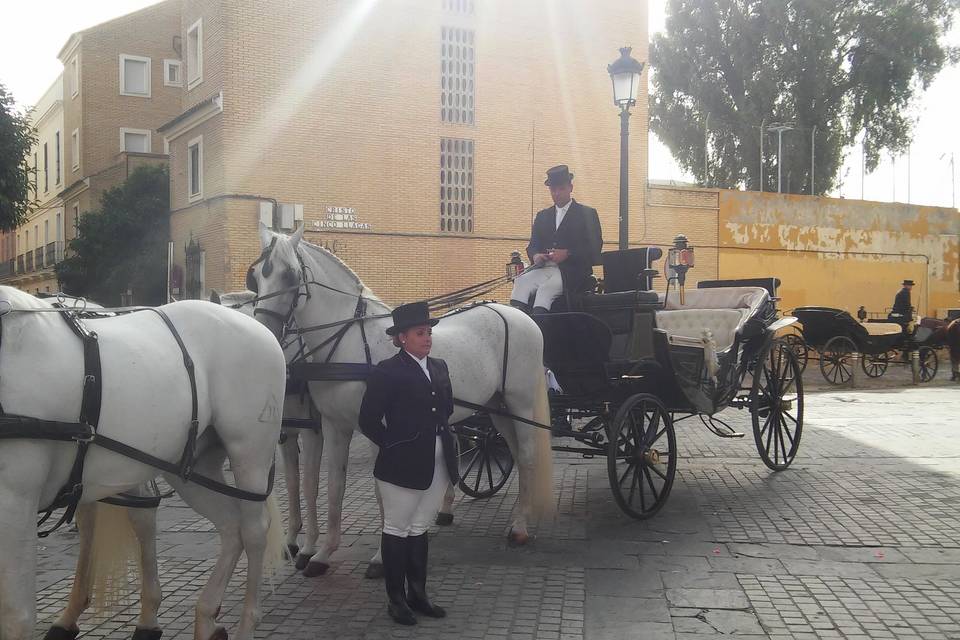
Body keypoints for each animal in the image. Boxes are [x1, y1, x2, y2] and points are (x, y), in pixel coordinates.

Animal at [0, 288, 284, 640]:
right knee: (231, 527)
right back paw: (206, 616)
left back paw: (245, 624)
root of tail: (254, 323)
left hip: (250, 455)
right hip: (190, 468)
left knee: (254, 531)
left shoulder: (14, 502)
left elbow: (17, 617)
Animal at [248, 225, 556, 576]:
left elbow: (382, 490)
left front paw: (381, 558)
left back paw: (519, 527)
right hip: (498, 407)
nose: (264, 329)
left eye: (289, 275)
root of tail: (515, 313)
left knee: (528, 456)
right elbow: (334, 485)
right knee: (516, 454)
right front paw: (323, 553)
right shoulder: (334, 426)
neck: (351, 342)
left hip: (521, 402)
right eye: (255, 276)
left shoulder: (374, 430)